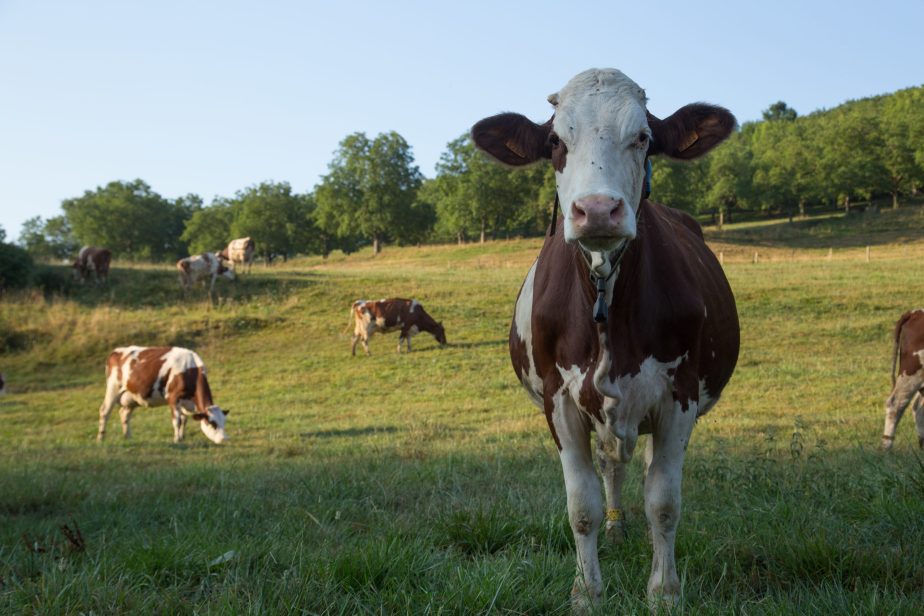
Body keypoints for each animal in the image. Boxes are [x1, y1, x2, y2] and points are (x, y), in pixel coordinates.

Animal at [96, 346, 230, 442]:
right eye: (212, 423)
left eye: (224, 422)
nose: (224, 439)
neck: (190, 371)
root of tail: (116, 351)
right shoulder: (172, 398)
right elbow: (177, 421)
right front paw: (176, 440)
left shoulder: (184, 403)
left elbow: (184, 419)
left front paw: (182, 437)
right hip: (113, 388)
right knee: (104, 411)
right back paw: (101, 438)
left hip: (131, 397)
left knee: (124, 414)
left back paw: (127, 437)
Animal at [472, 67, 740, 608]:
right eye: (555, 140)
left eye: (643, 138)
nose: (597, 210)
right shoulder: (559, 398)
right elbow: (582, 505)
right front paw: (587, 591)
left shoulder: (679, 394)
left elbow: (663, 501)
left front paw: (664, 592)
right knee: (610, 466)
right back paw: (615, 530)